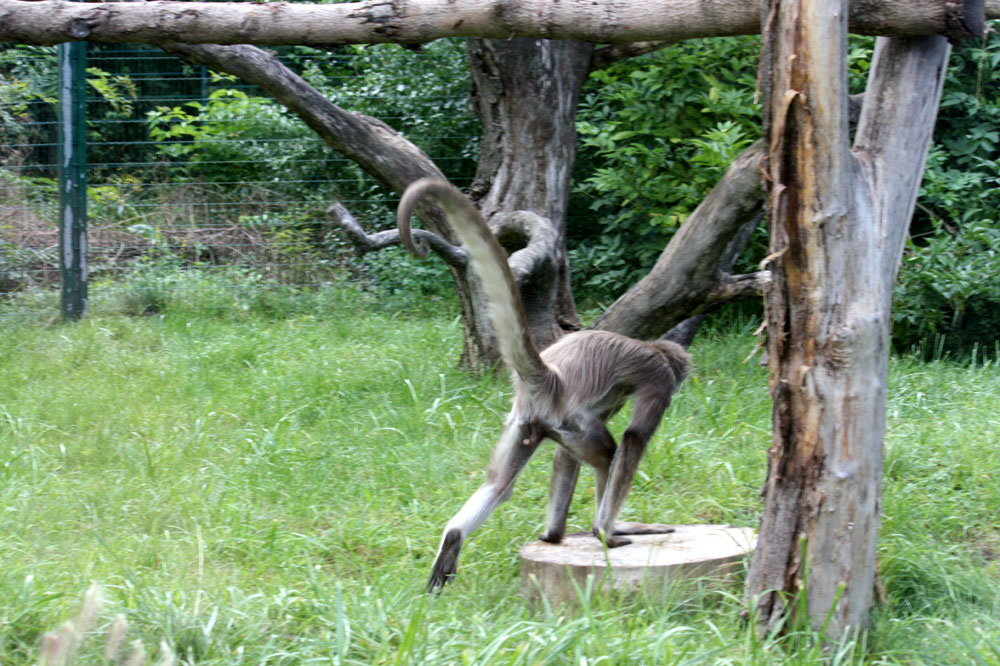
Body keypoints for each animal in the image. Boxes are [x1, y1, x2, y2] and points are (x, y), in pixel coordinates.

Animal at [394, 179, 692, 588]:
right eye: (677, 381)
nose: (682, 385)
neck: (653, 349)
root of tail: (551, 378)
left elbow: (566, 456)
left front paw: (564, 532)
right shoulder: (659, 379)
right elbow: (632, 440)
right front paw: (605, 532)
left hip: (525, 423)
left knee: (499, 485)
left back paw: (506, 536)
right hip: (558, 420)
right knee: (609, 453)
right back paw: (606, 531)